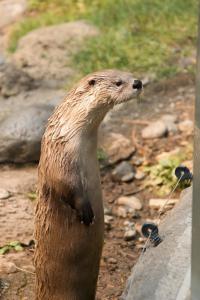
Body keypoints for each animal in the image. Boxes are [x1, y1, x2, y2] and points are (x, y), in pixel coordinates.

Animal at [34, 69, 142, 300]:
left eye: (129, 73)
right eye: (118, 82)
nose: (138, 83)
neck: (68, 133)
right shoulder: (59, 159)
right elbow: (65, 185)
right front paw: (86, 211)